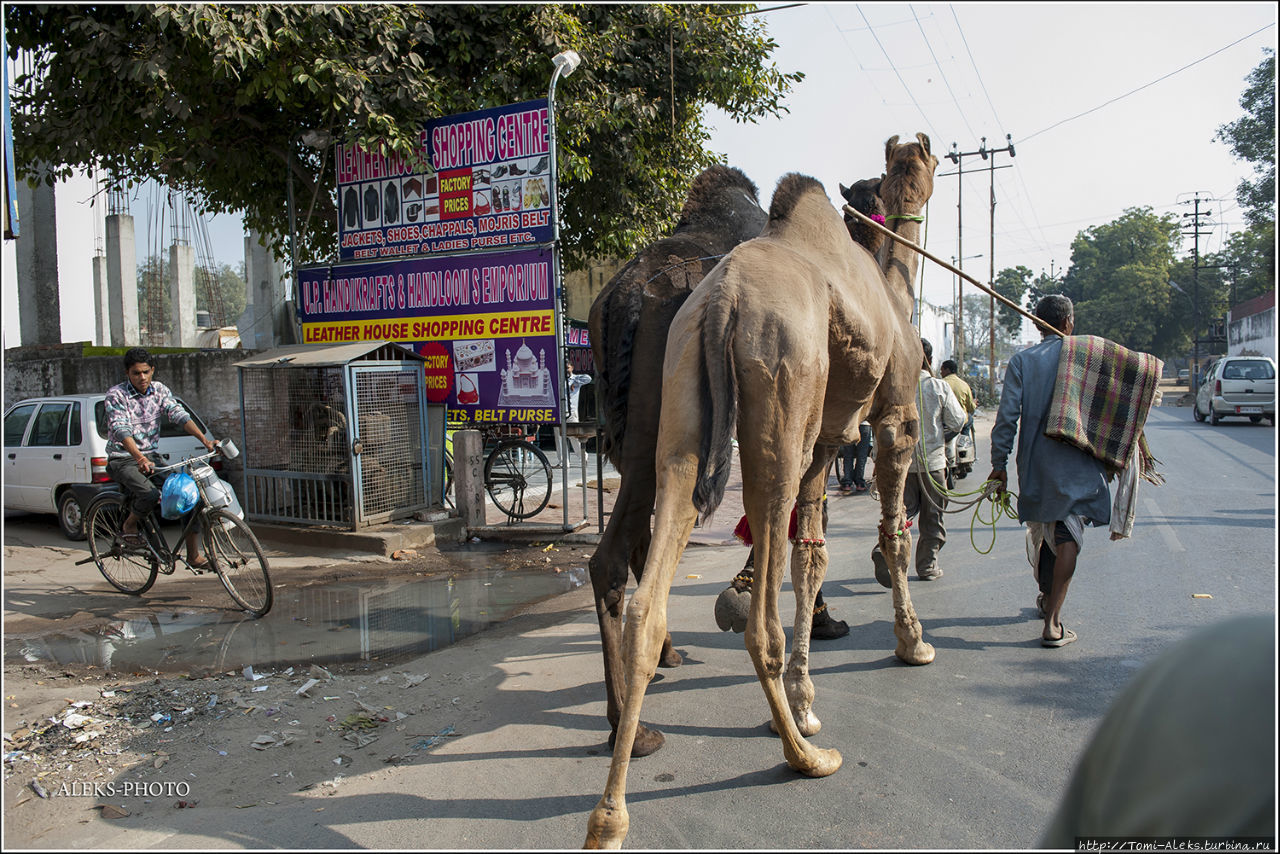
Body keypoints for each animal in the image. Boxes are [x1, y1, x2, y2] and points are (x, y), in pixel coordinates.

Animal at [586, 163, 762, 757]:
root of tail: (625, 300)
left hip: (624, 431)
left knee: (635, 540)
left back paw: (660, 660)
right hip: (654, 428)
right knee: (610, 558)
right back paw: (629, 726)